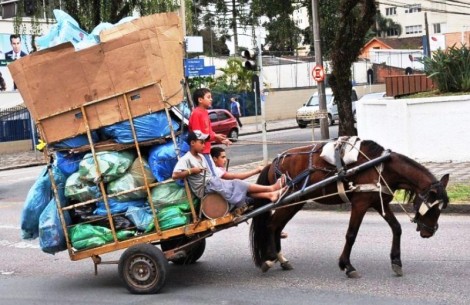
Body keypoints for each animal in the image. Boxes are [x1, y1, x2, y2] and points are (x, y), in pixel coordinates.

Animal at [252, 138, 450, 278]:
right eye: (433, 208)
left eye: (442, 207)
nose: (429, 232)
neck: (381, 166)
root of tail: (273, 163)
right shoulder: (360, 204)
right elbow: (351, 234)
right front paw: (347, 266)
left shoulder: (379, 202)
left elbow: (396, 228)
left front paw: (396, 262)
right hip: (287, 201)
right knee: (271, 225)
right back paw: (270, 258)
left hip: (296, 202)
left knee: (278, 227)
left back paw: (281, 259)